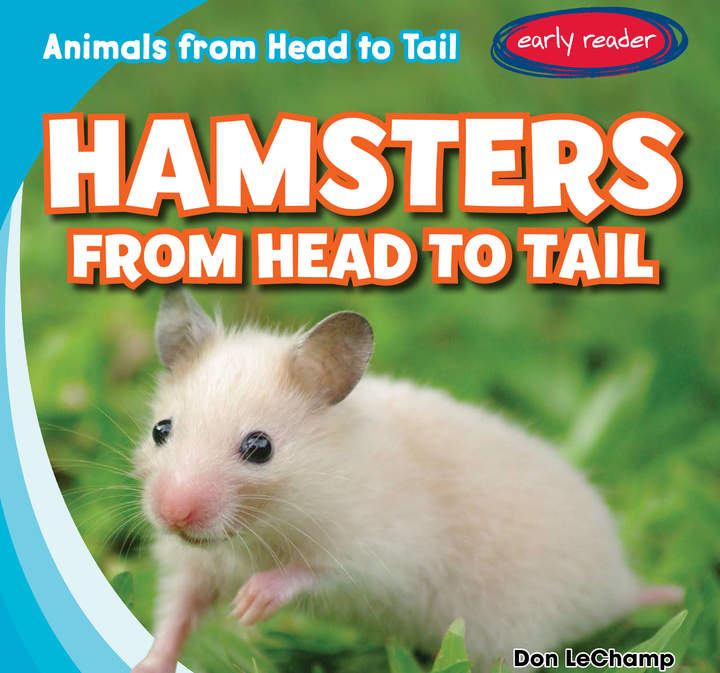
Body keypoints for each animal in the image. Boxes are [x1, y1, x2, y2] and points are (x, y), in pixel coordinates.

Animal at [130, 290, 682, 673]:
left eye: (260, 448)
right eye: (161, 430)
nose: (173, 514)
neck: (257, 531)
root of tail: (618, 586)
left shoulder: (381, 555)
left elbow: (312, 572)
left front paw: (250, 604)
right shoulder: (194, 567)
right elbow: (175, 614)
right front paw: (148, 664)